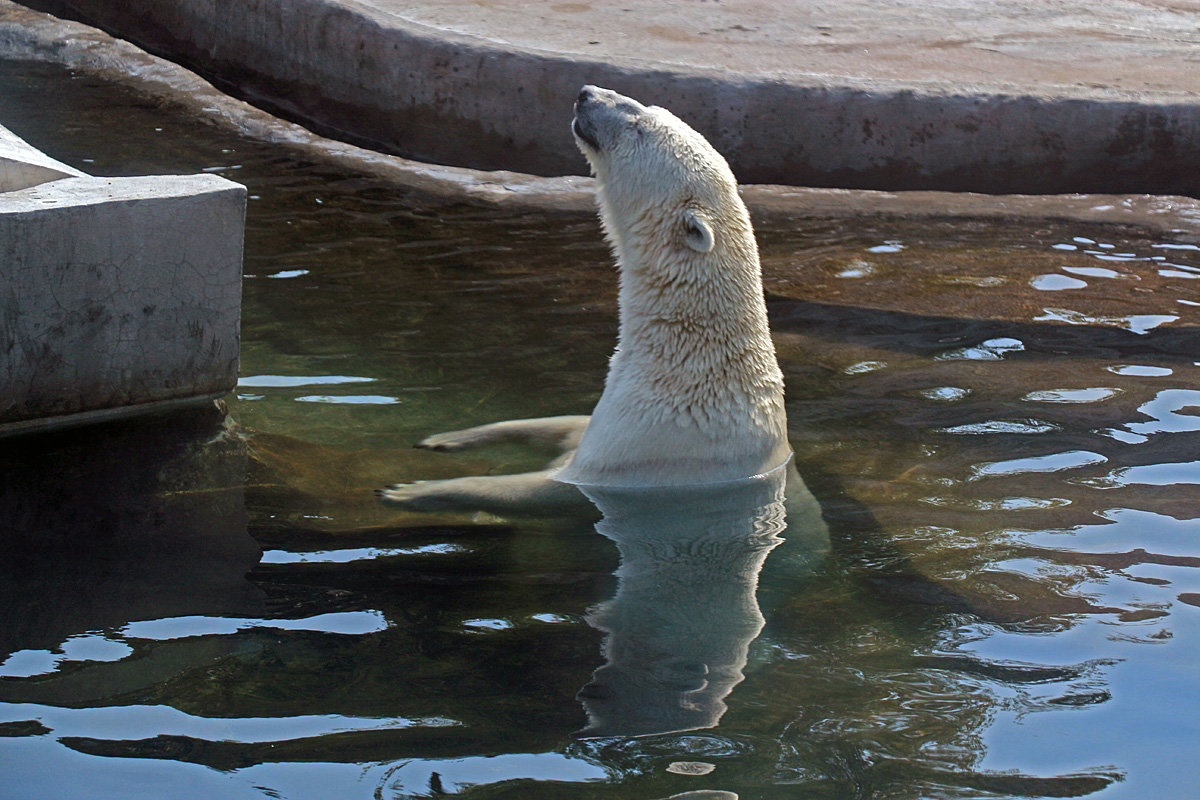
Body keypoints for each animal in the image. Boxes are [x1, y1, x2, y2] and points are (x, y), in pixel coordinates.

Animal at [381, 87, 787, 510]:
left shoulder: (641, 454)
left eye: (639, 125)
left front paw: (410, 490)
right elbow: (560, 424)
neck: (688, 372)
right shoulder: (608, 420)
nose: (586, 93)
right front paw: (444, 437)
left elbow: (540, 488)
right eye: (648, 106)